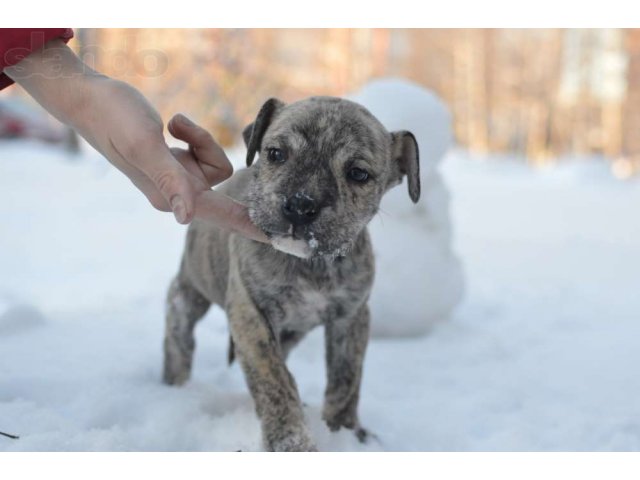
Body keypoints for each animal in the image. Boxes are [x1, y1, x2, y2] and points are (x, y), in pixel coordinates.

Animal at [164, 95, 420, 452]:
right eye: (275, 154)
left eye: (358, 173)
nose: (300, 205)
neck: (310, 264)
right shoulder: (250, 312)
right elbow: (274, 378)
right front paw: (291, 441)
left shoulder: (351, 316)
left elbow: (346, 378)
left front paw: (344, 431)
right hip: (189, 293)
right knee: (179, 336)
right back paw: (175, 386)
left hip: (292, 331)